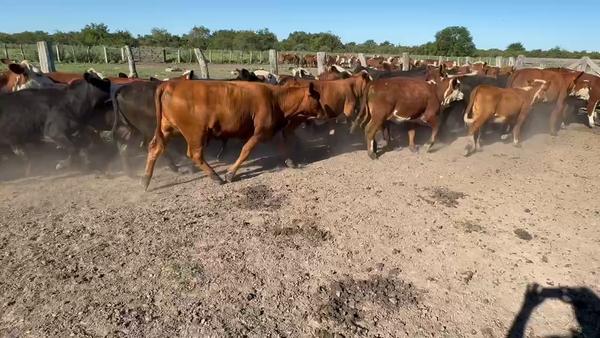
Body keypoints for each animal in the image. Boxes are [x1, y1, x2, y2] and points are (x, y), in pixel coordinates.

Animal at [141, 80, 328, 189]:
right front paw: (230, 174)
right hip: (195, 133)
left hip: (167, 128)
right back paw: (216, 177)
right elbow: (245, 151)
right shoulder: (259, 133)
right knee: (195, 154)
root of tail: (171, 84)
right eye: (316, 98)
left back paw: (145, 180)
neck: (276, 99)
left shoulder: (266, 132)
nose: (324, 112)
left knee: (154, 148)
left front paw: (290, 161)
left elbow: (281, 147)